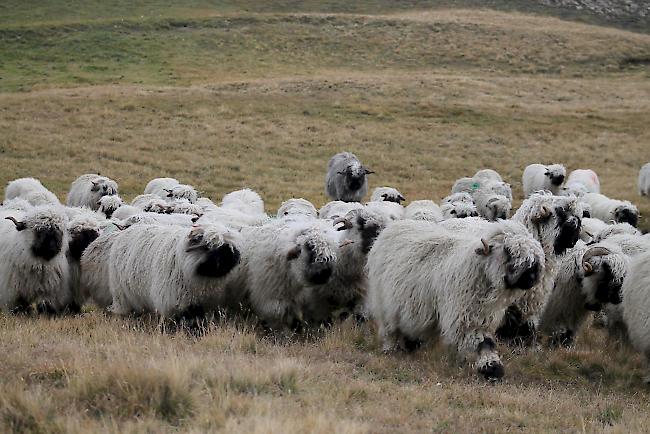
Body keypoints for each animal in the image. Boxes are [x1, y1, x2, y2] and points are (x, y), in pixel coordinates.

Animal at [368, 219, 544, 378]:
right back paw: (390, 349)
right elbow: (483, 343)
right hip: (383, 301)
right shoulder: (465, 315)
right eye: (508, 251)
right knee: (389, 328)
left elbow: (486, 341)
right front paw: (492, 369)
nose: (532, 277)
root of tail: (394, 226)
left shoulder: (481, 316)